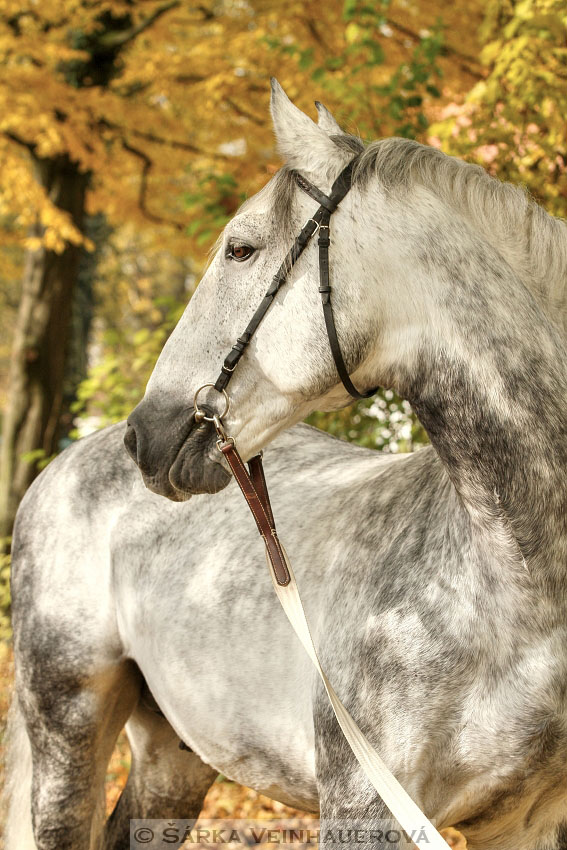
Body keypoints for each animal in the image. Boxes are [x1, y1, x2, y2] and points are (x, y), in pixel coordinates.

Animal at [4, 81, 567, 848]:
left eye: (241, 248)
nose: (146, 435)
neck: (514, 589)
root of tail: (62, 467)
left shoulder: (527, 822)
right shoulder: (361, 807)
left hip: (175, 754)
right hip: (66, 728)